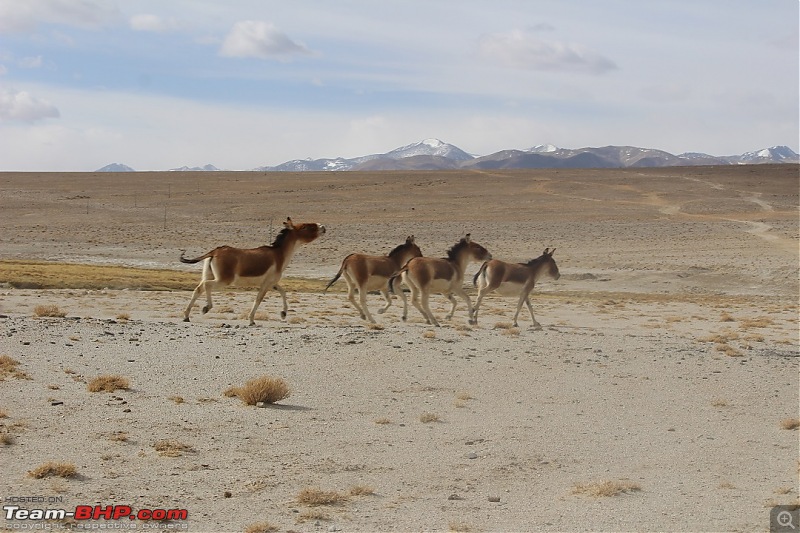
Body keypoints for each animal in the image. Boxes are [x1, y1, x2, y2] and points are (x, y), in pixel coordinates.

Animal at [181, 216, 324, 324]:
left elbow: (283, 292)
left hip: (209, 275)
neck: (279, 254)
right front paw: (251, 320)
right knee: (207, 285)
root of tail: (214, 252)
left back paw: (186, 316)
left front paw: (283, 313)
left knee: (198, 289)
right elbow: (258, 299)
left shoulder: (272, 283)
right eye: (305, 226)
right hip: (224, 279)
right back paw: (206, 307)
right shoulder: (266, 284)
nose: (322, 227)